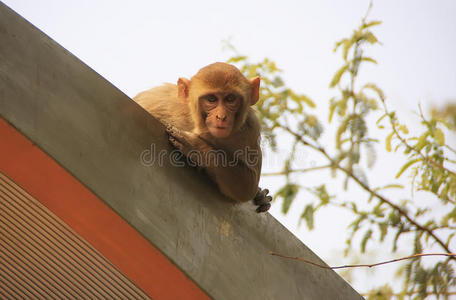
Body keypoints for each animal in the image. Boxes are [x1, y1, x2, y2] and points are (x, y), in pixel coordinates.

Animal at [134, 62, 270, 212]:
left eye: (230, 98)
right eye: (211, 99)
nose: (221, 117)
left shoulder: (251, 128)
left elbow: (247, 186)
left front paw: (196, 147)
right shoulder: (161, 101)